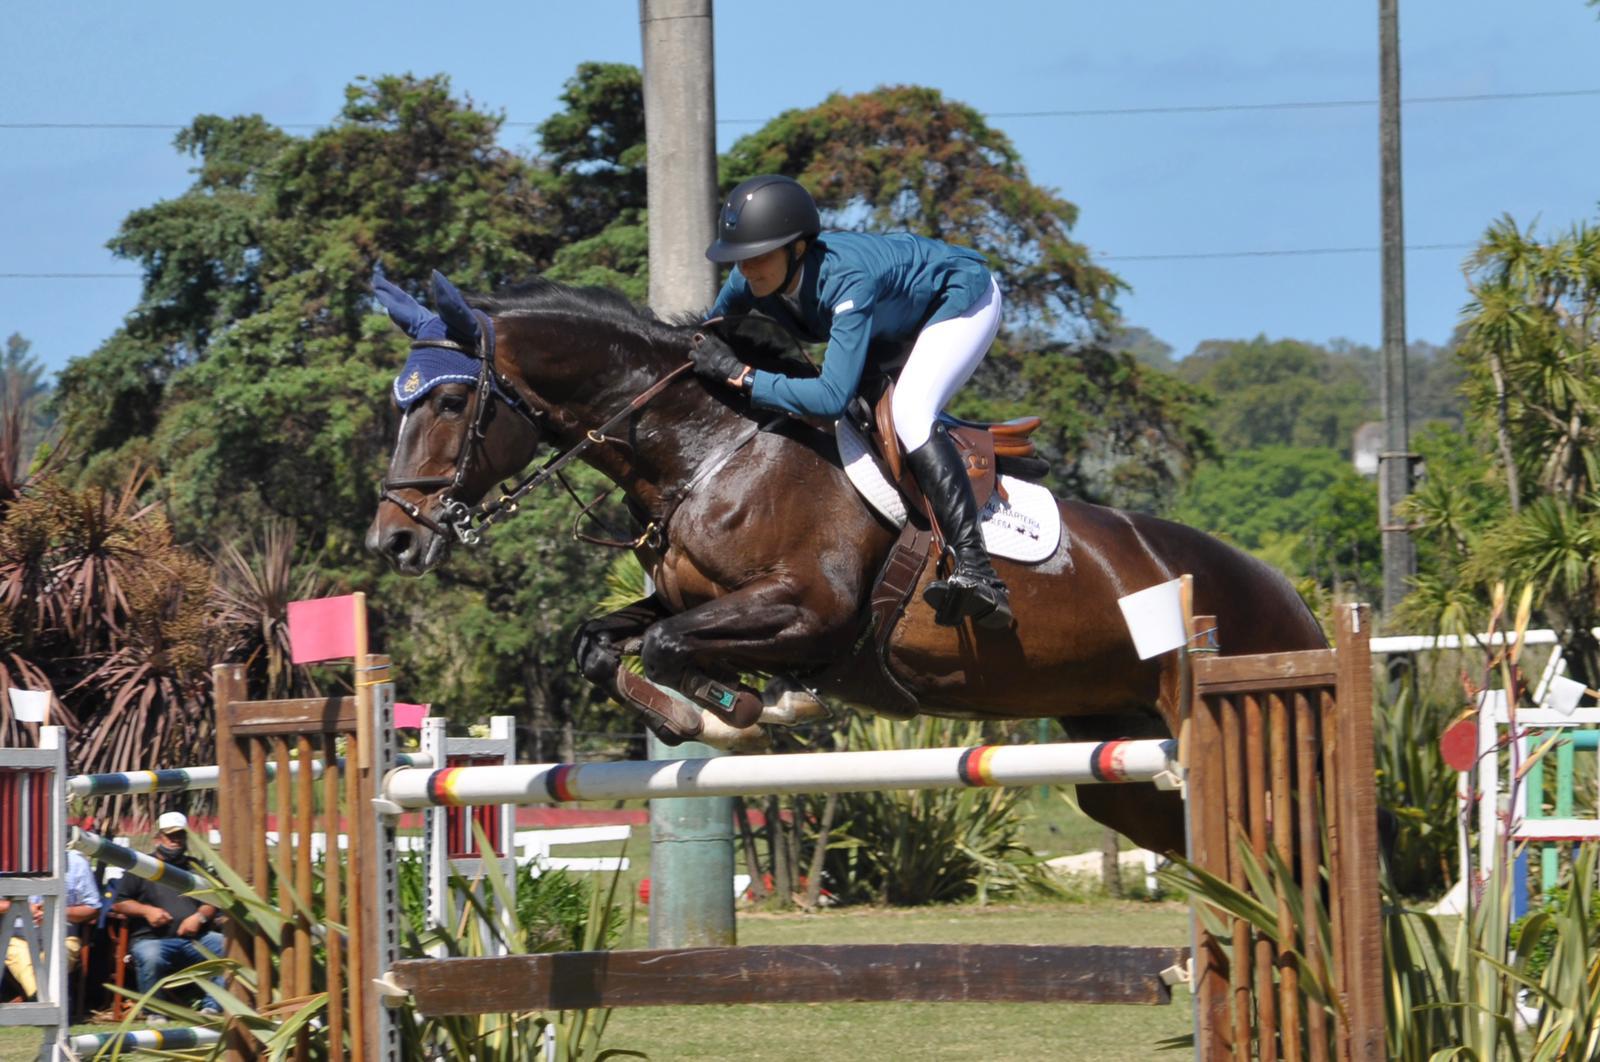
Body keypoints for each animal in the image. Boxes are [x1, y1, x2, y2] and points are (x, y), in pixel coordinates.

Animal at [366, 271, 1324, 857]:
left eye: (448, 402)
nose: (393, 541)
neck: (709, 451)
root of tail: (1296, 602)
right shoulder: (684, 597)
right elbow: (603, 642)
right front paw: (697, 716)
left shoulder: (808, 610)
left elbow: (673, 647)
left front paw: (742, 713)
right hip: (1117, 758)